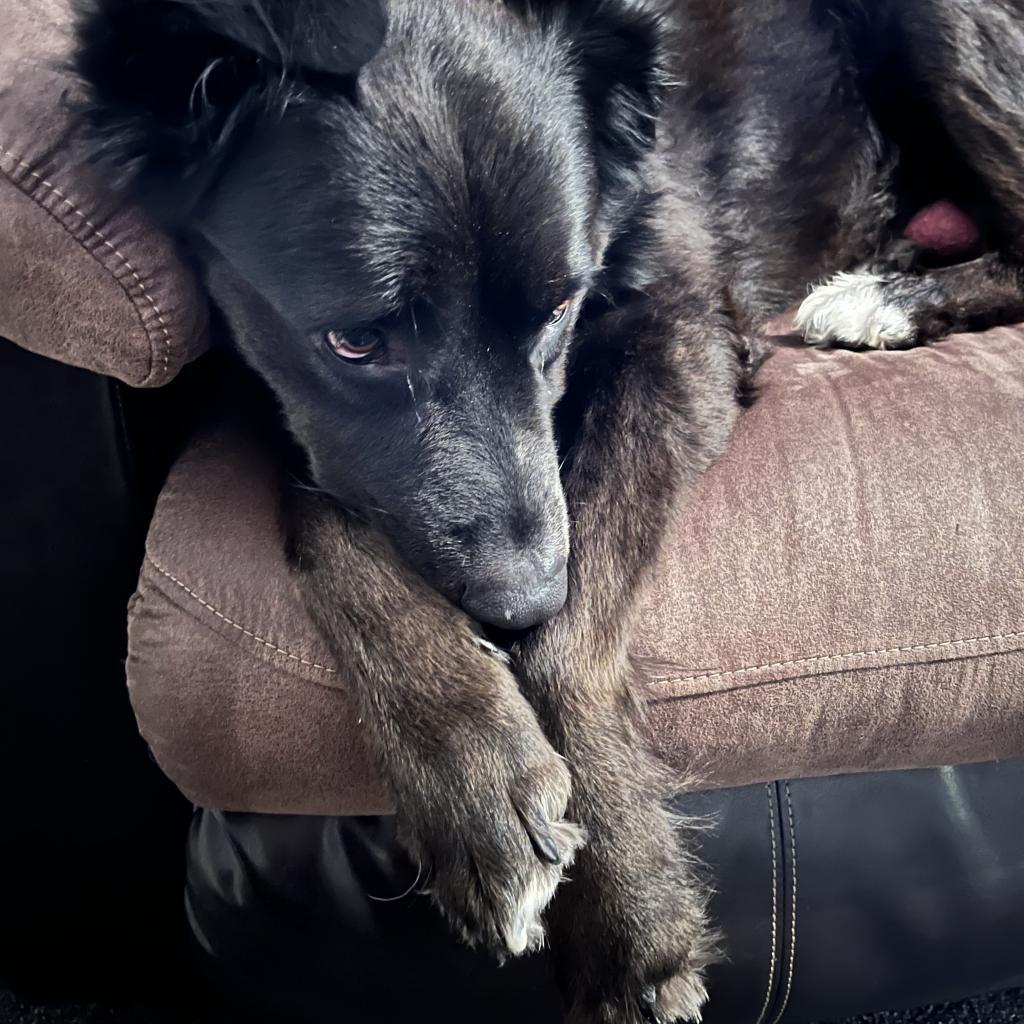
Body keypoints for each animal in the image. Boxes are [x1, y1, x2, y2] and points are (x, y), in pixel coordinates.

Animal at [75, 2, 1024, 1024]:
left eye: (563, 305)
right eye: (355, 340)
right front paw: (472, 770)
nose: (515, 604)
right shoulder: (285, 397)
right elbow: (333, 523)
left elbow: (573, 628)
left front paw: (630, 911)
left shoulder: (682, 330)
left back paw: (886, 298)